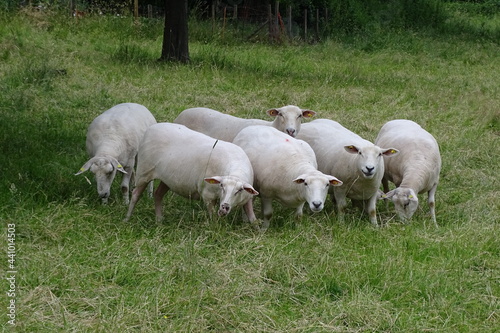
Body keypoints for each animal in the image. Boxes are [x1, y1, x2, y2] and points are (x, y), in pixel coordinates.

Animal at [124, 122, 258, 223]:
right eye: (221, 186)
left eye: (239, 190)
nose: (224, 207)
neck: (236, 170)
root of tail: (152, 127)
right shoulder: (207, 195)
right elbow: (213, 218)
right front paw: (215, 228)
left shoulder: (247, 198)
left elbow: (253, 218)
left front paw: (257, 230)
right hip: (144, 172)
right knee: (135, 194)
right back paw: (127, 219)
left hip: (167, 178)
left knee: (158, 194)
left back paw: (159, 220)